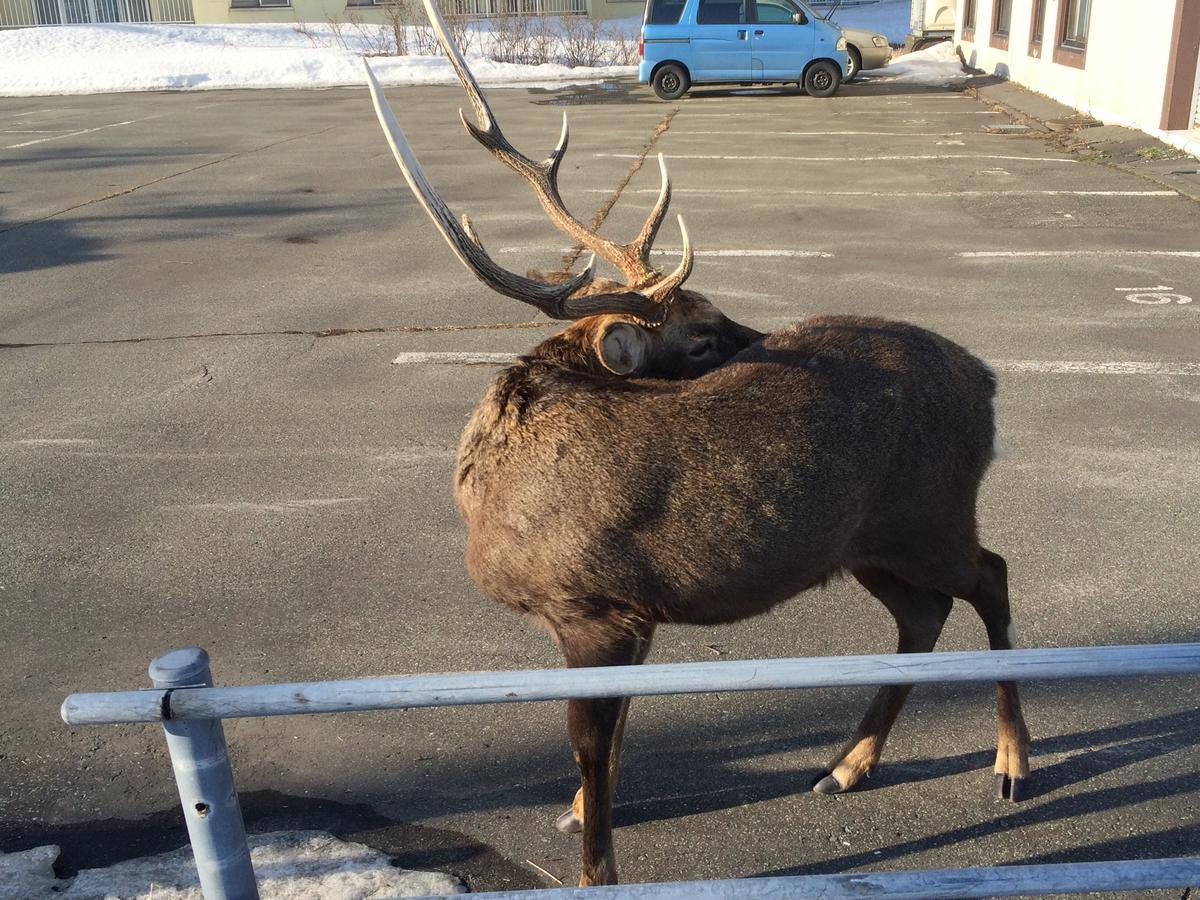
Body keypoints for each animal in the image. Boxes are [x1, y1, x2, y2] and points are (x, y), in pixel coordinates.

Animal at [362, 1, 1032, 888]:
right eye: (704, 336)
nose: (760, 339)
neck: (492, 492)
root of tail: (986, 381)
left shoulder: (595, 608)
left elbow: (589, 744)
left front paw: (595, 868)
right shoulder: (629, 614)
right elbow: (613, 734)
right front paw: (581, 811)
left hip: (931, 514)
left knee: (991, 576)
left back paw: (1011, 762)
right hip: (864, 543)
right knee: (923, 615)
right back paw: (848, 764)